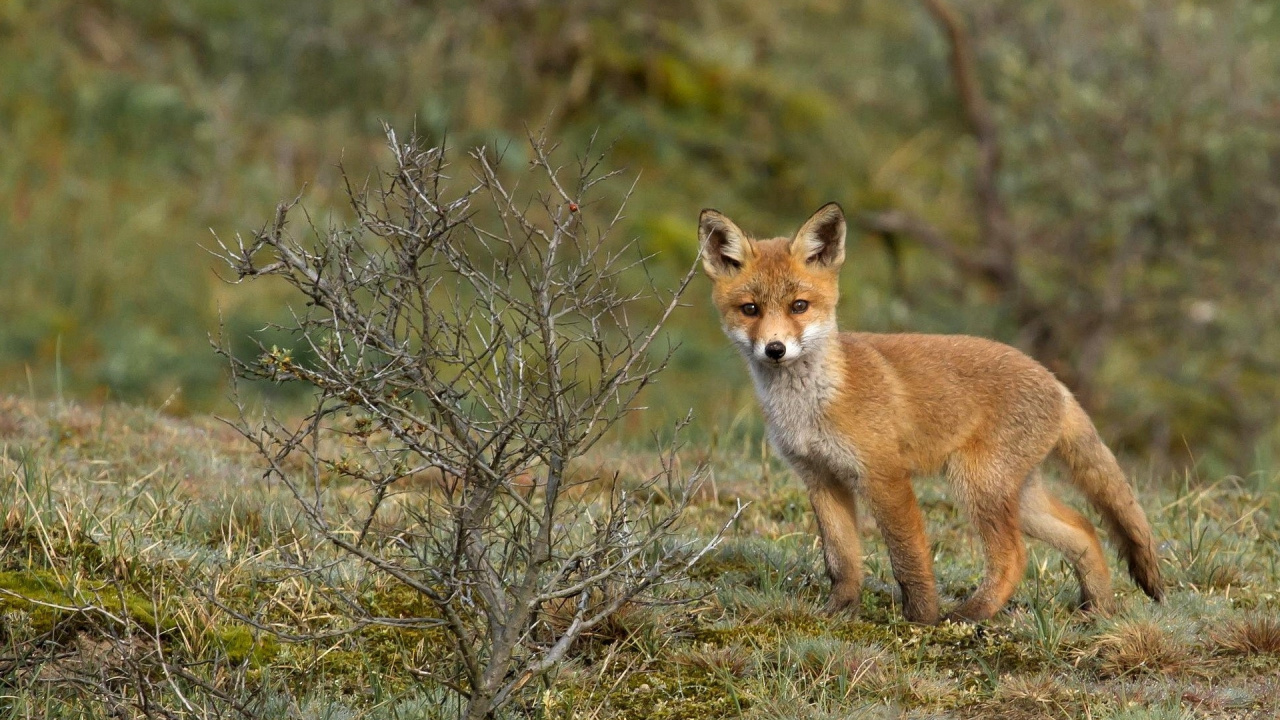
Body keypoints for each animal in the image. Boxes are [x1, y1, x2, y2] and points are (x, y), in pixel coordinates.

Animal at [696, 202, 1167, 622]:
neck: (812, 405)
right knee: (1083, 530)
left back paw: (970, 615)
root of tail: (1056, 381)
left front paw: (920, 619)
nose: (775, 349)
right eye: (750, 309)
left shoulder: (885, 476)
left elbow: (908, 557)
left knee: (1015, 556)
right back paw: (1100, 611)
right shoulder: (821, 478)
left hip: (977, 483)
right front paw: (837, 613)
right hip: (1017, 494)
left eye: (799, 306)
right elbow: (842, 561)